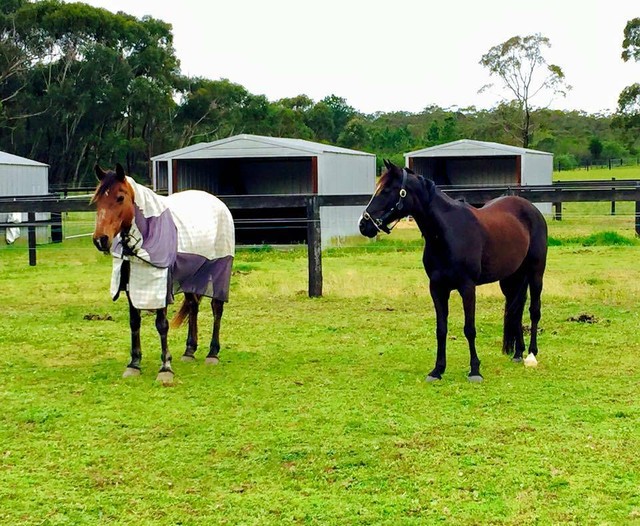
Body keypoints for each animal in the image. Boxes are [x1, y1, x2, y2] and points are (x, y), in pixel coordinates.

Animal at [92, 163, 235, 382]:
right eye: (97, 200)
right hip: (190, 276)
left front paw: (165, 367)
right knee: (193, 306)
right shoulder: (131, 285)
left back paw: (212, 353)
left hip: (219, 269)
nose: (100, 239)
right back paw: (189, 351)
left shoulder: (160, 285)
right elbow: (134, 322)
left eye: (120, 197)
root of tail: (218, 203)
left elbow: (162, 324)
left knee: (216, 308)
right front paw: (134, 364)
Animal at [359, 159, 547, 382]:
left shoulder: (467, 287)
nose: (363, 225)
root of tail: (531, 209)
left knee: (534, 310)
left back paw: (531, 355)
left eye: (387, 190)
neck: (447, 233)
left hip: (535, 273)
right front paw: (437, 370)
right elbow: (441, 329)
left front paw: (474, 370)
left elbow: (469, 329)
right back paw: (518, 353)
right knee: (516, 309)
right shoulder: (437, 288)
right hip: (510, 279)